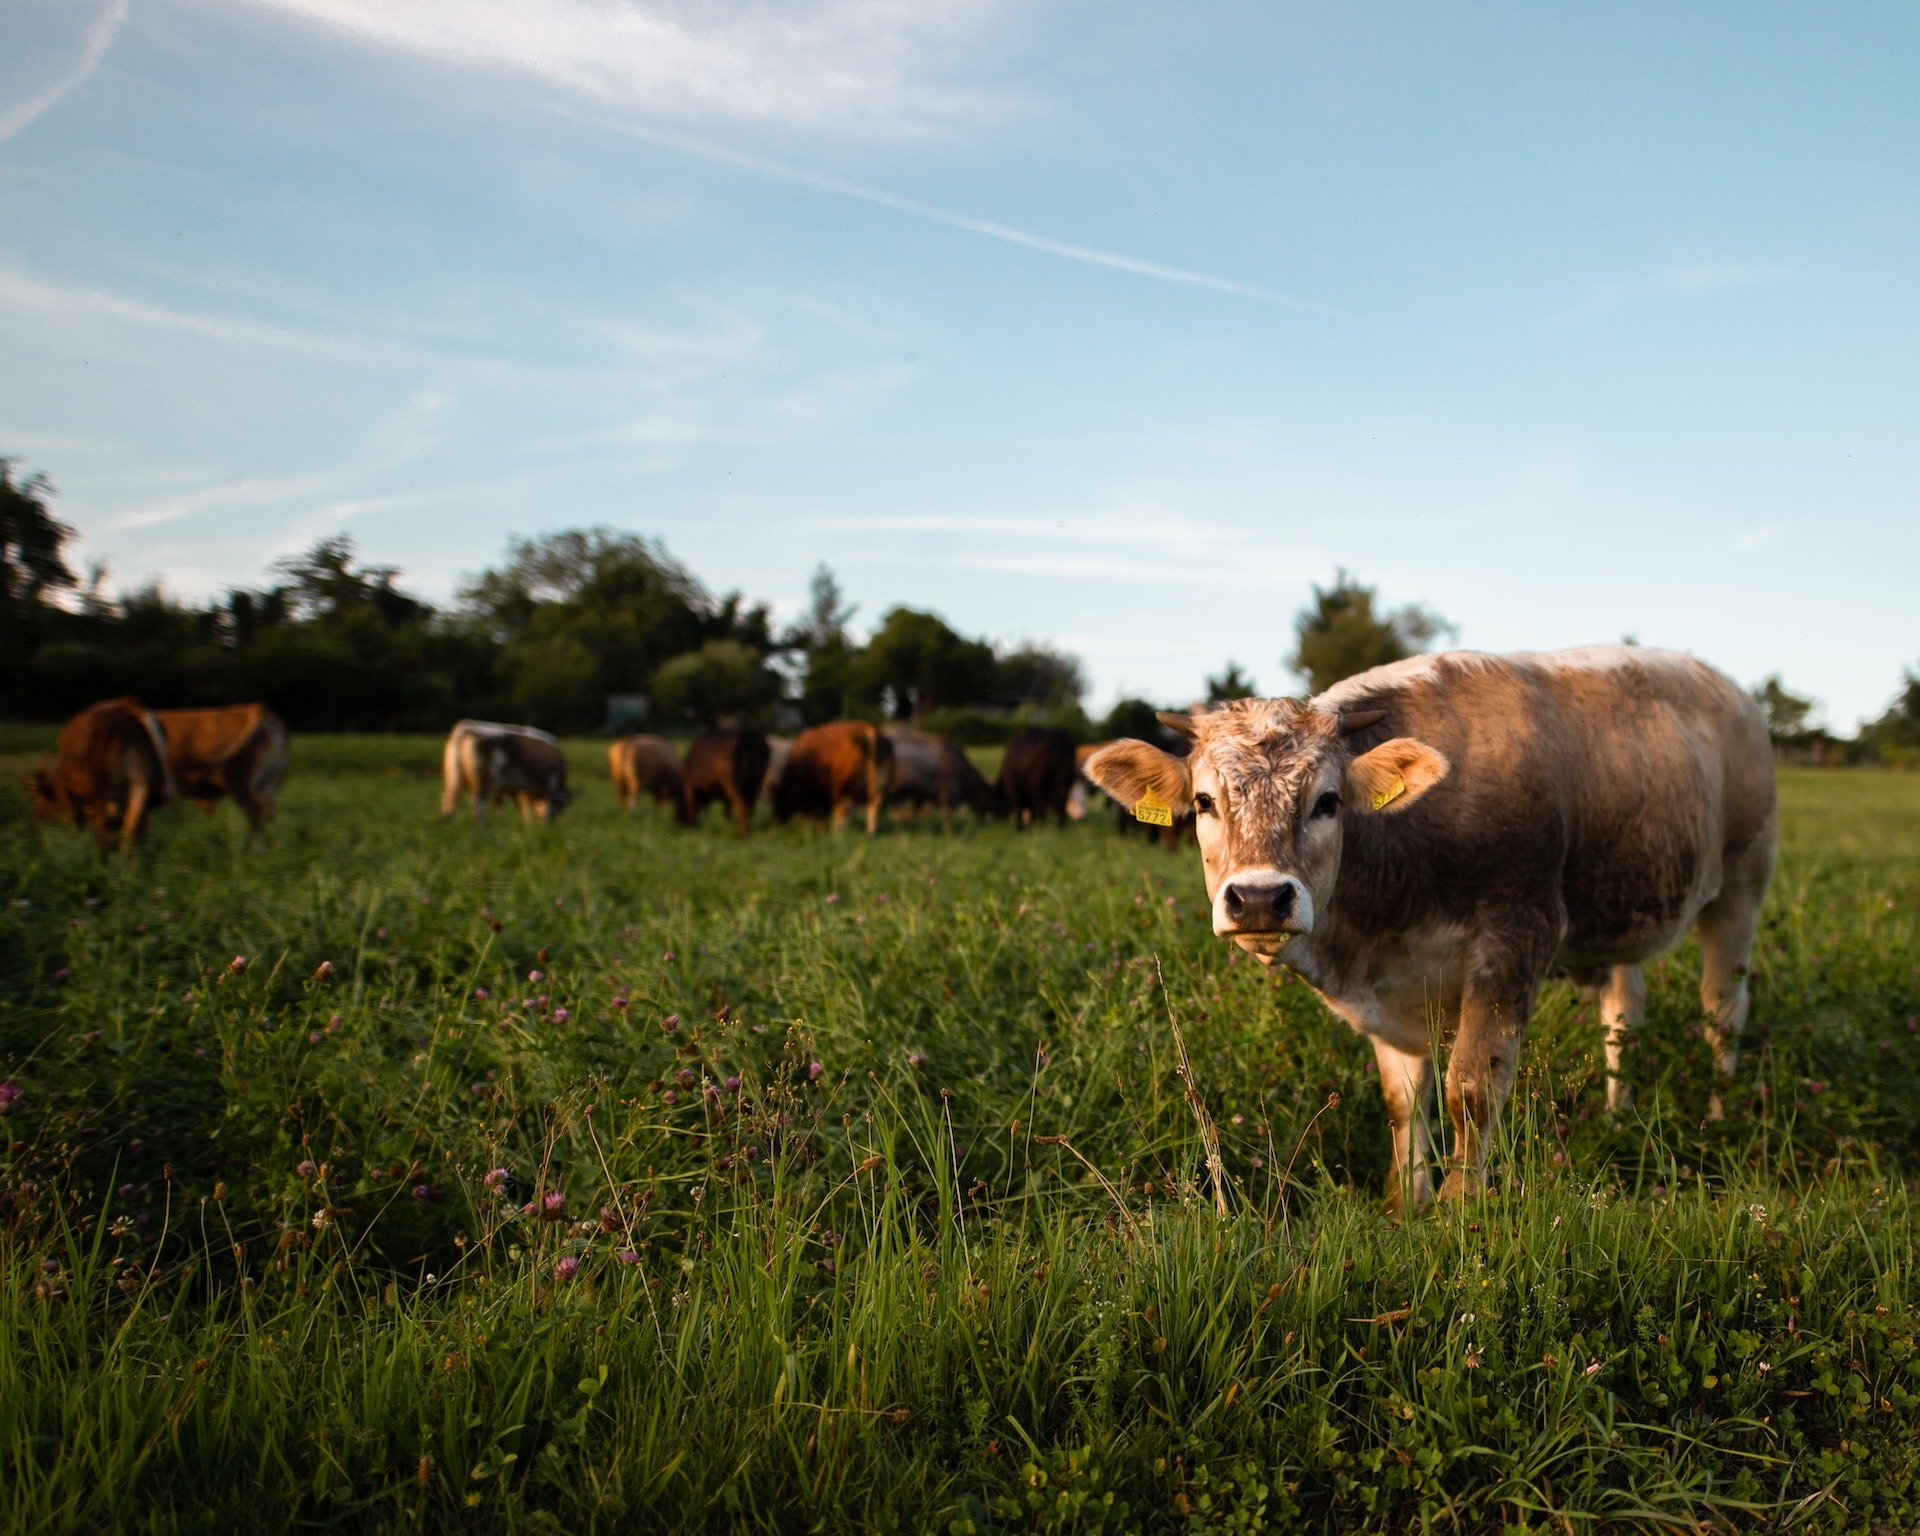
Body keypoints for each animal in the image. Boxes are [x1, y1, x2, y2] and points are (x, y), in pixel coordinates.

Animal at [29, 697, 175, 848]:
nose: (35, 819)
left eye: (38, 798)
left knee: (105, 833)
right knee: (133, 830)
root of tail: (125, 706)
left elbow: (76, 827)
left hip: (100, 793)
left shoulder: (70, 798)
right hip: (141, 786)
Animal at [441, 720, 573, 823]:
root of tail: (467, 726)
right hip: (484, 779)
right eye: (562, 807)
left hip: (453, 778)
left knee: (448, 801)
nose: (553, 824)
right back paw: (481, 833)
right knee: (478, 804)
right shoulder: (552, 784)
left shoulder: (523, 790)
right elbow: (544, 810)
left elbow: (525, 810)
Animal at [1084, 647, 1776, 1214]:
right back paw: (1617, 1117)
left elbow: (1470, 1087)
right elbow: (1403, 1098)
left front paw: (1458, 1207)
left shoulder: (1515, 936)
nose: (1258, 898)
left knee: (1723, 1009)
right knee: (1624, 1011)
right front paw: (1405, 1202)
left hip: (1741, 887)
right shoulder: (1389, 991)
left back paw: (1720, 1115)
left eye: (1328, 801)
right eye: (1204, 802)